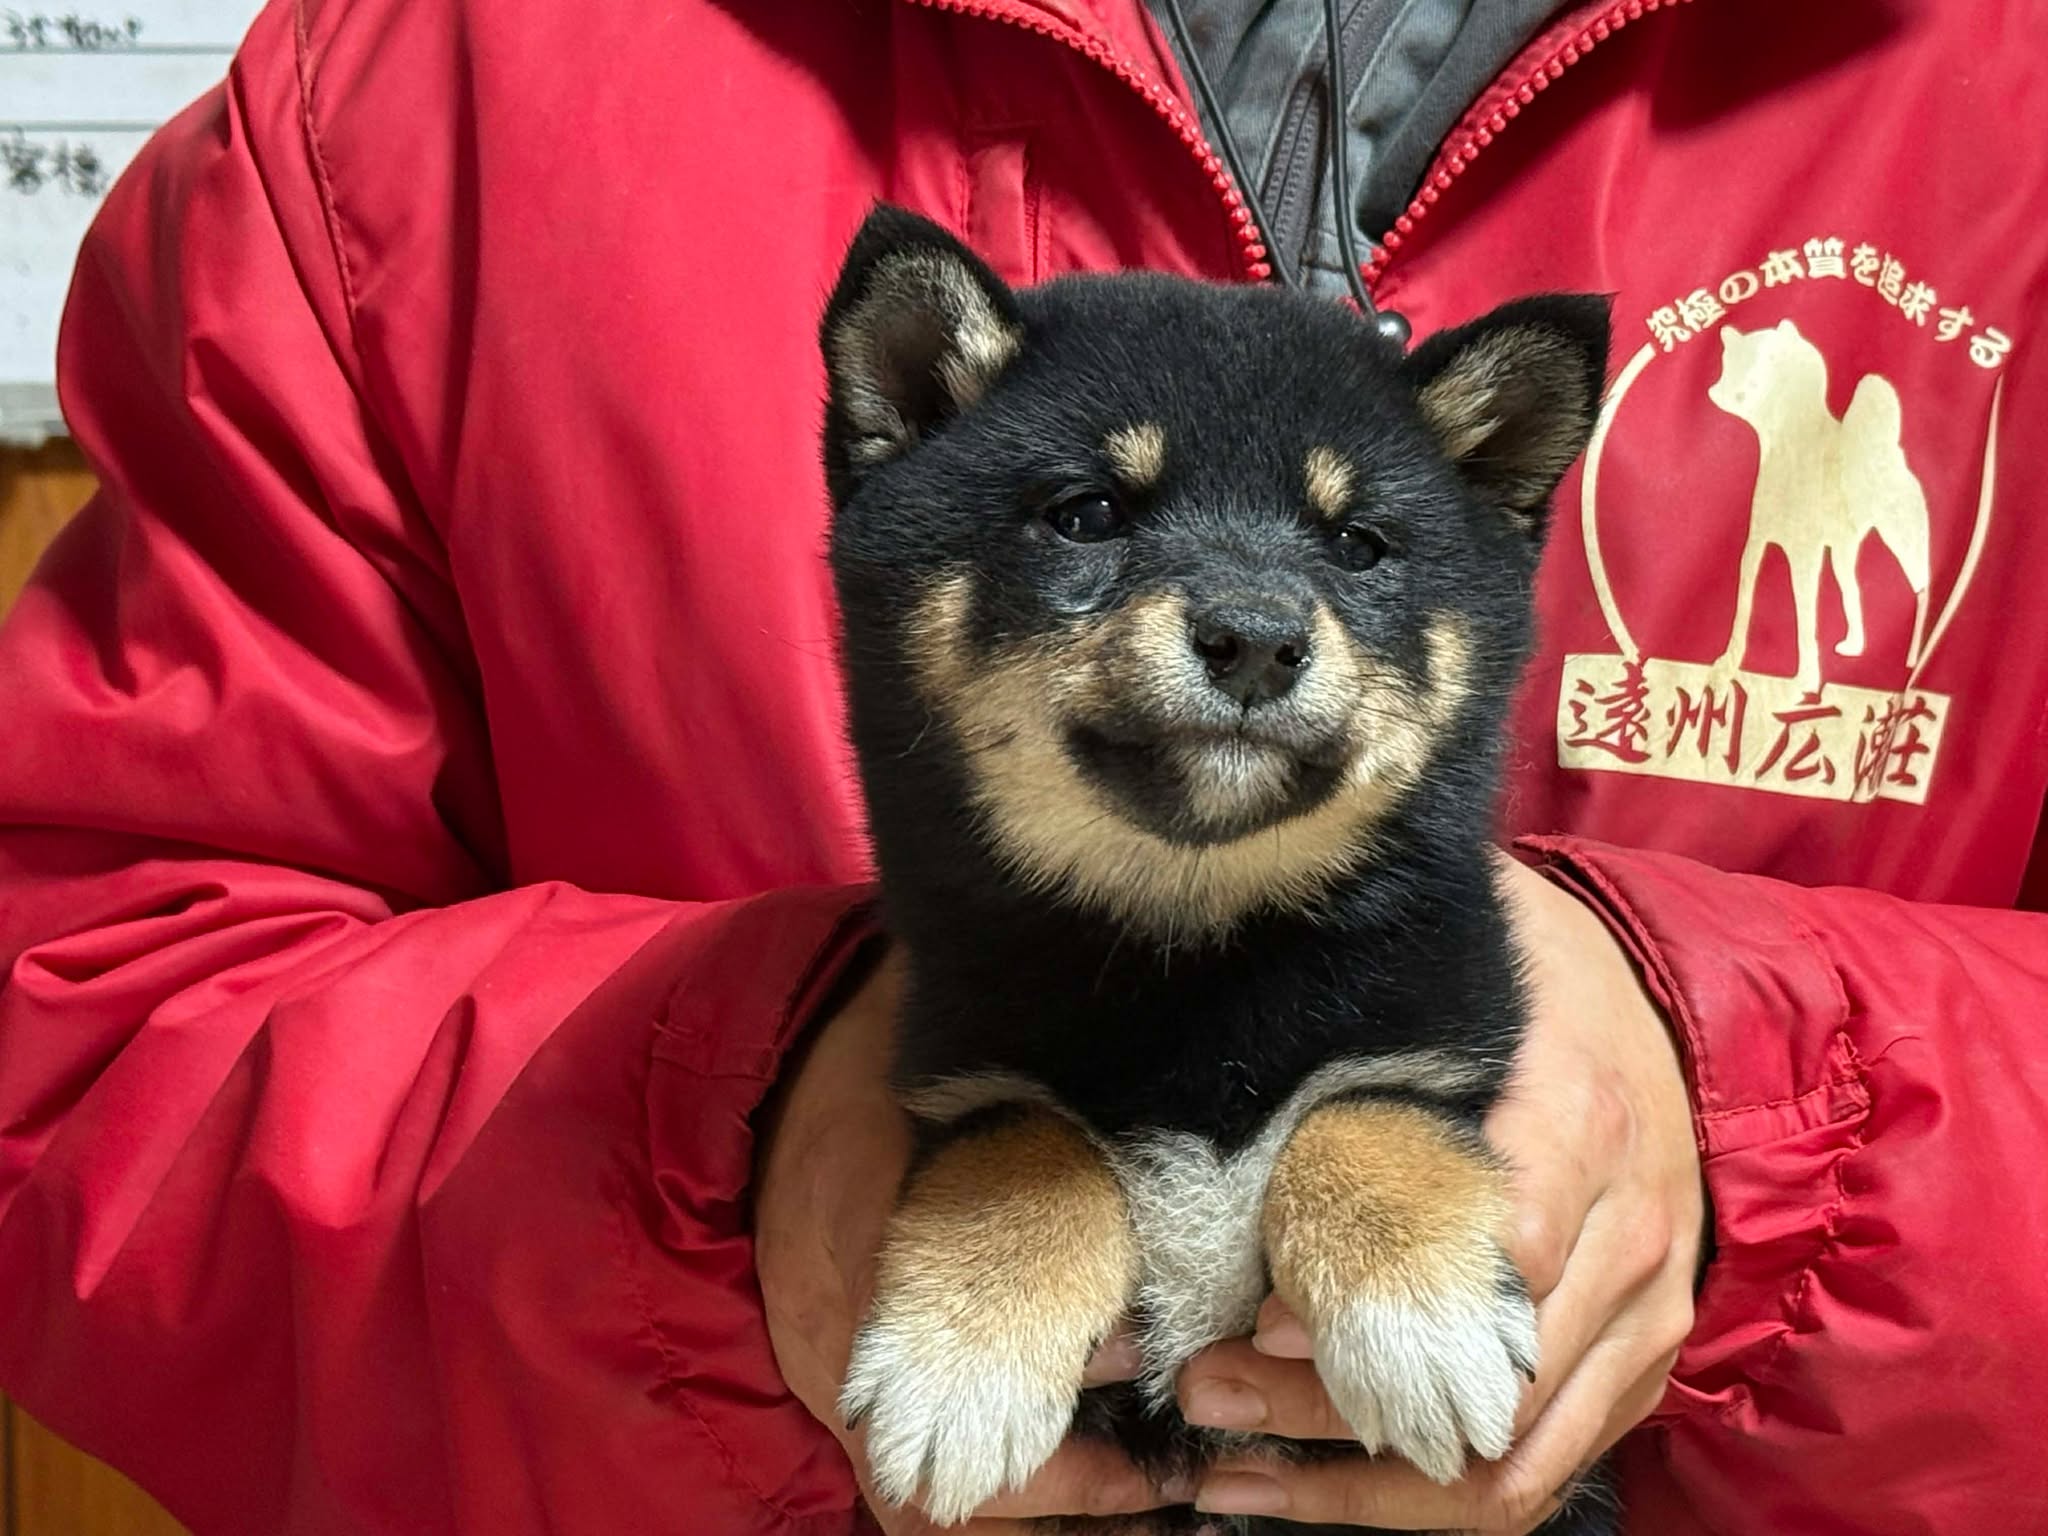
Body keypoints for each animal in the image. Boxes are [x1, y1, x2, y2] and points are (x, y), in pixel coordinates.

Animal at [820, 204, 1614, 1536]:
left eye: (1357, 544)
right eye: (1088, 513)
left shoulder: (1440, 1036)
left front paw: (1422, 1323)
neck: (1199, 953)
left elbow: (1360, 1114)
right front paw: (961, 1358)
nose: (1254, 637)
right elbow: (1025, 1150)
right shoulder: (965, 1066)